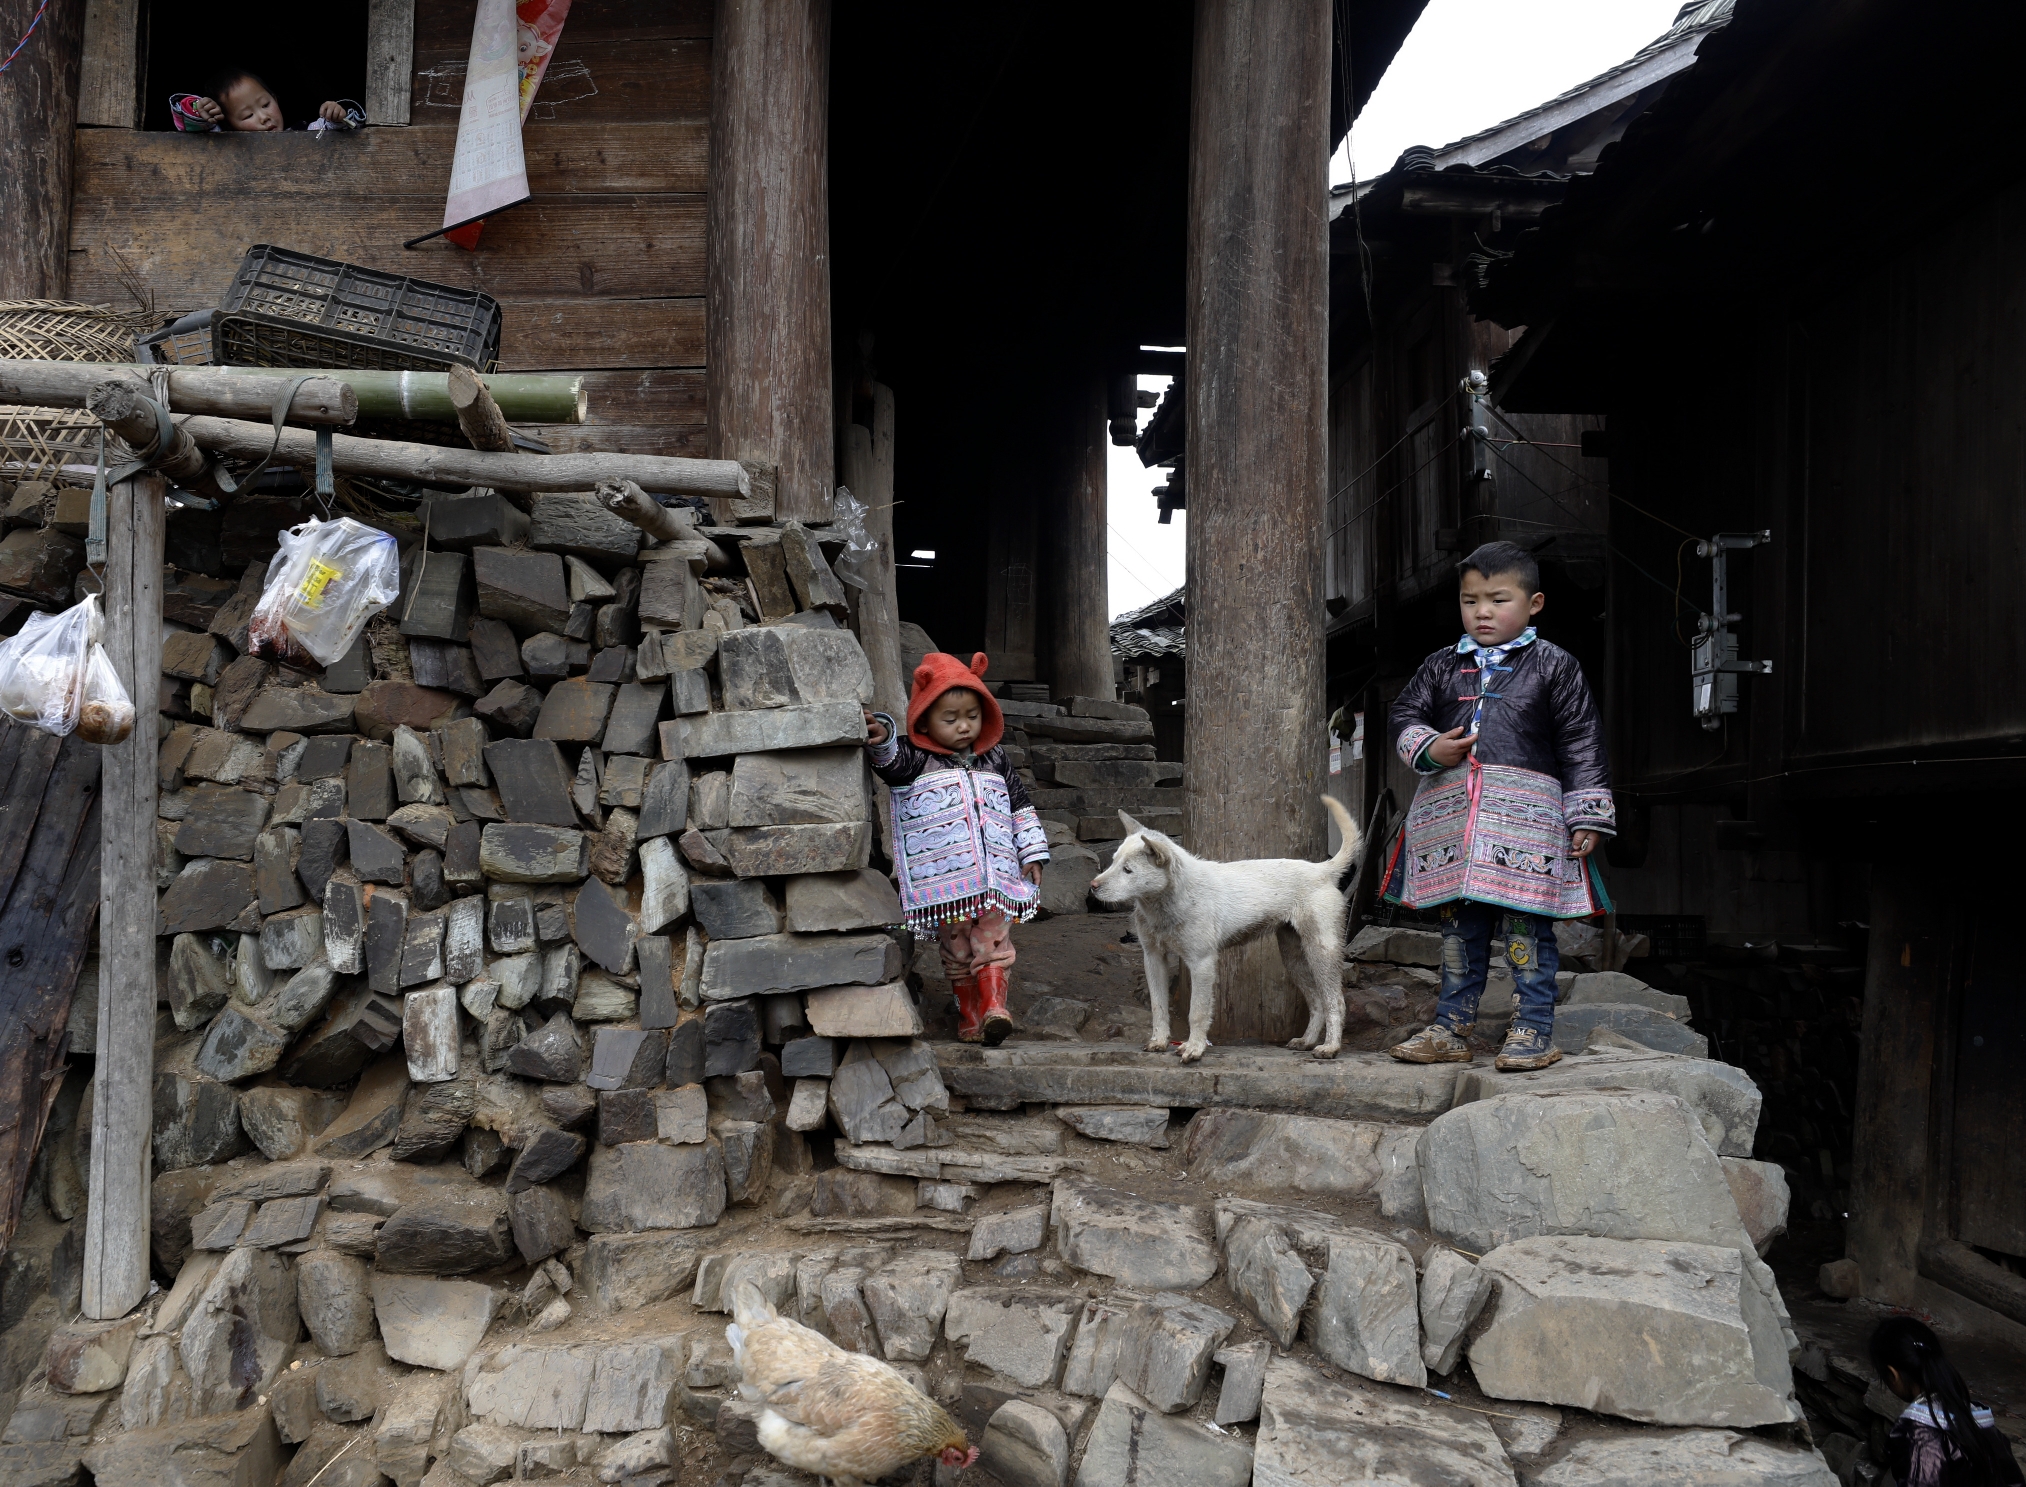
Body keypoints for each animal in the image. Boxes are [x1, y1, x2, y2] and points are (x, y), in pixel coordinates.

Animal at [1094, 798, 1361, 1069]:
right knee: (1317, 1001)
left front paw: (1194, 1048)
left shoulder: (1201, 962)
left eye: (1128, 870)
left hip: (1321, 951)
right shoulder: (1153, 958)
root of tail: (1323, 870)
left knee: (1335, 1001)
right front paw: (1159, 1041)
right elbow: (1158, 1006)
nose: (1093, 887)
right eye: (1113, 862)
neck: (1169, 900)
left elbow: (1198, 1011)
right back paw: (1306, 1041)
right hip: (1293, 956)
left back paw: (1330, 1047)